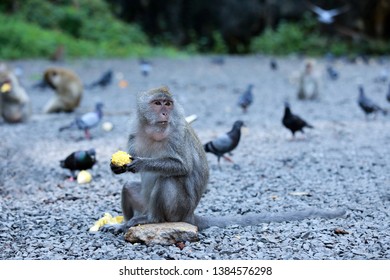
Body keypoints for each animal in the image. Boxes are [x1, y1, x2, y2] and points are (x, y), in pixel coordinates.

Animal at [104, 86, 344, 233]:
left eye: (168, 104)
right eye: (157, 103)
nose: (164, 114)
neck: (154, 131)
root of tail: (190, 215)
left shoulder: (176, 133)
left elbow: (182, 166)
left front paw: (140, 163)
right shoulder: (135, 131)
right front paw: (117, 167)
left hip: (178, 210)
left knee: (169, 180)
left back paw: (150, 220)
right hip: (146, 203)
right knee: (128, 188)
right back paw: (126, 223)